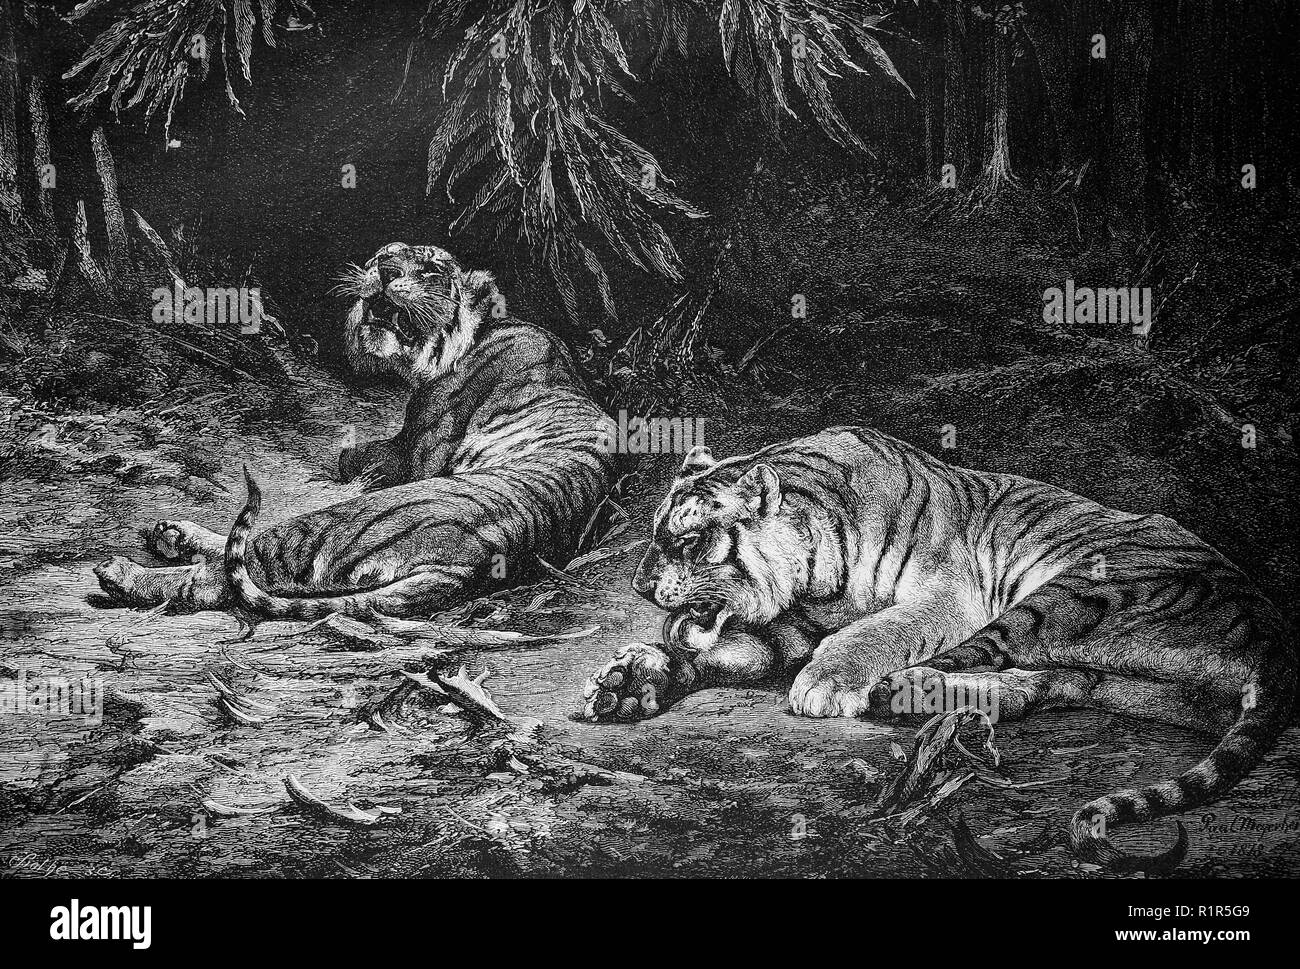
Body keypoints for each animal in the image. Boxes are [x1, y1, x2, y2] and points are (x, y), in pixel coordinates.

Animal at [94, 242, 616, 631]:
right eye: (382, 255)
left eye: (430, 268)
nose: (383, 270)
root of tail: (477, 562)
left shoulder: (415, 452)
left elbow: (354, 457)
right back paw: (172, 534)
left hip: (328, 526)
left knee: (225, 572)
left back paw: (122, 574)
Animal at [580, 427, 1297, 872]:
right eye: (652, 533)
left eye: (688, 541)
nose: (641, 585)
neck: (813, 570)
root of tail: (1268, 622)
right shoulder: (787, 628)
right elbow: (710, 654)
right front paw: (628, 681)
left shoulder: (949, 597)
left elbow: (873, 631)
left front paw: (827, 681)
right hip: (1106, 666)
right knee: (1041, 683)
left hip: (1070, 592)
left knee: (980, 656)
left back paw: (900, 700)